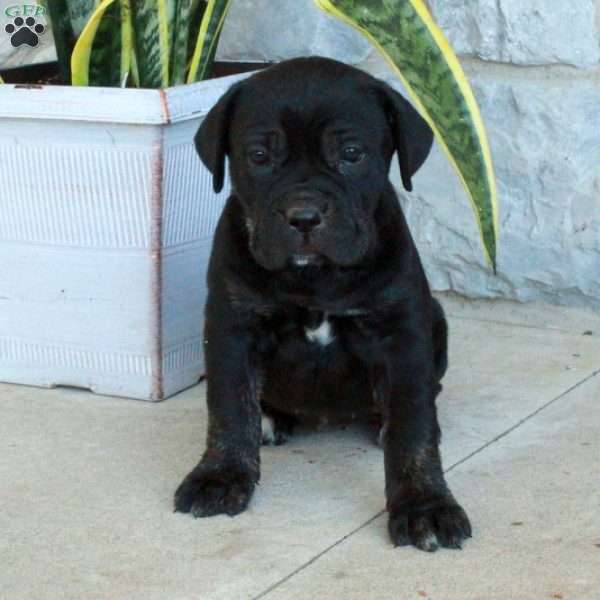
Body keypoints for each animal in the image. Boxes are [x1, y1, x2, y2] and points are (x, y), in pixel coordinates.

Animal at [176, 57, 472, 552]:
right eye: (259, 156)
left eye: (352, 154)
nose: (304, 216)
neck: (314, 277)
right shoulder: (233, 329)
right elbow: (230, 407)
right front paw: (220, 475)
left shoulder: (402, 334)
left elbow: (413, 424)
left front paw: (423, 505)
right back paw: (271, 420)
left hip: (438, 323)